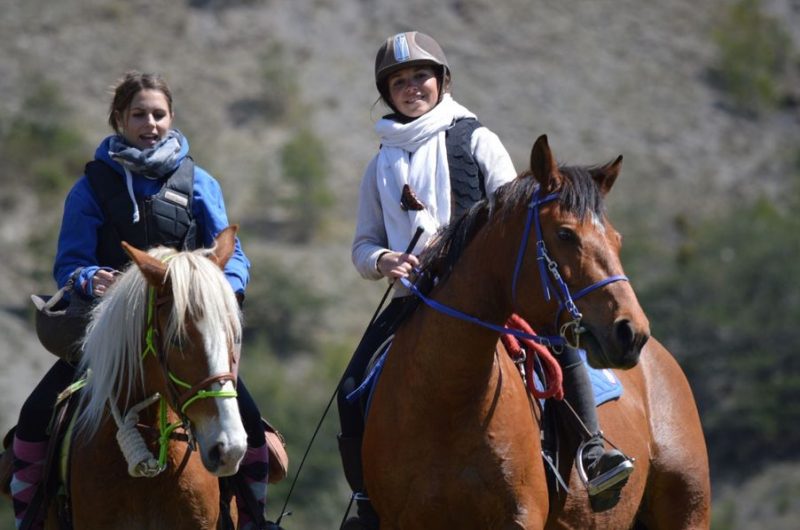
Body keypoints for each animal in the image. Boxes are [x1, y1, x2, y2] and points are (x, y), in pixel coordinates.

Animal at [360, 136, 708, 528]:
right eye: (565, 233)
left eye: (616, 239)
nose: (630, 332)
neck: (447, 401)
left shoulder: (521, 514)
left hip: (689, 511)